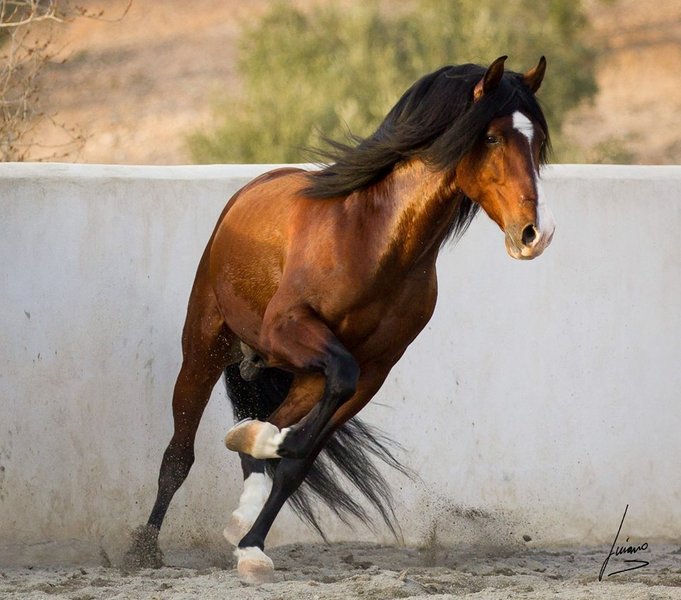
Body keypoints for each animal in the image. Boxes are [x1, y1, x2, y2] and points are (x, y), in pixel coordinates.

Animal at [124, 55, 555, 583]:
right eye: (492, 137)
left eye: (537, 140)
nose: (535, 233)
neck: (373, 240)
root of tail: (248, 192)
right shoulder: (288, 329)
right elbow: (294, 433)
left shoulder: (373, 371)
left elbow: (297, 461)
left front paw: (252, 547)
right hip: (206, 347)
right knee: (178, 454)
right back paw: (144, 549)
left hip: (305, 375)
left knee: (263, 436)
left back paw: (246, 488)